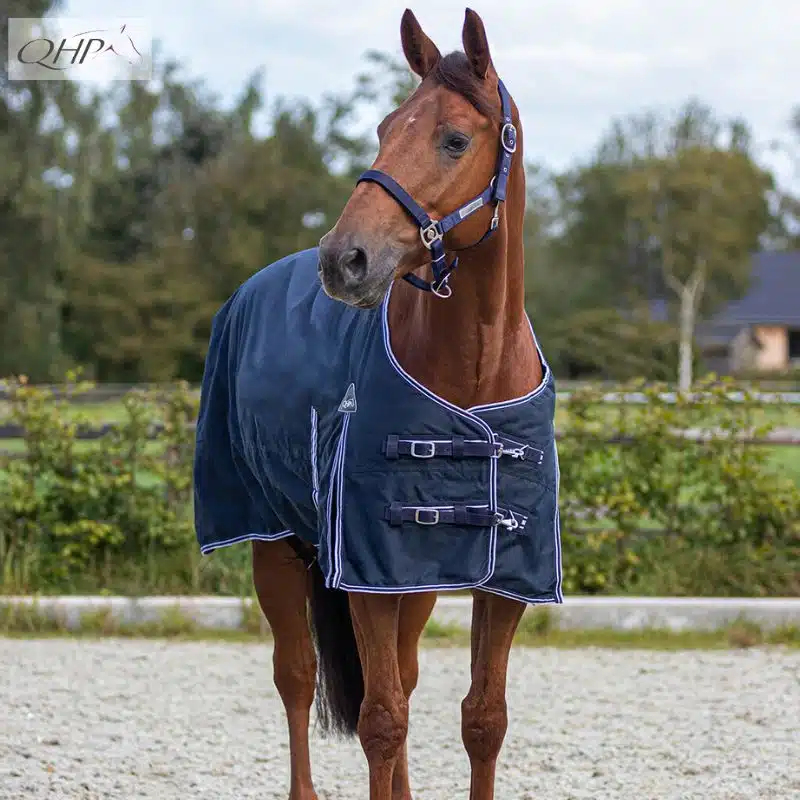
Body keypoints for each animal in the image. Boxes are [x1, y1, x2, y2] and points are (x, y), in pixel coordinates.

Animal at [193, 8, 562, 799]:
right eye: (386, 127)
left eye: (454, 138)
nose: (344, 259)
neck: (473, 378)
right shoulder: (365, 570)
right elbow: (380, 719)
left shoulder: (503, 582)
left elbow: (482, 718)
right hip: (274, 543)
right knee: (297, 676)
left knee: (404, 678)